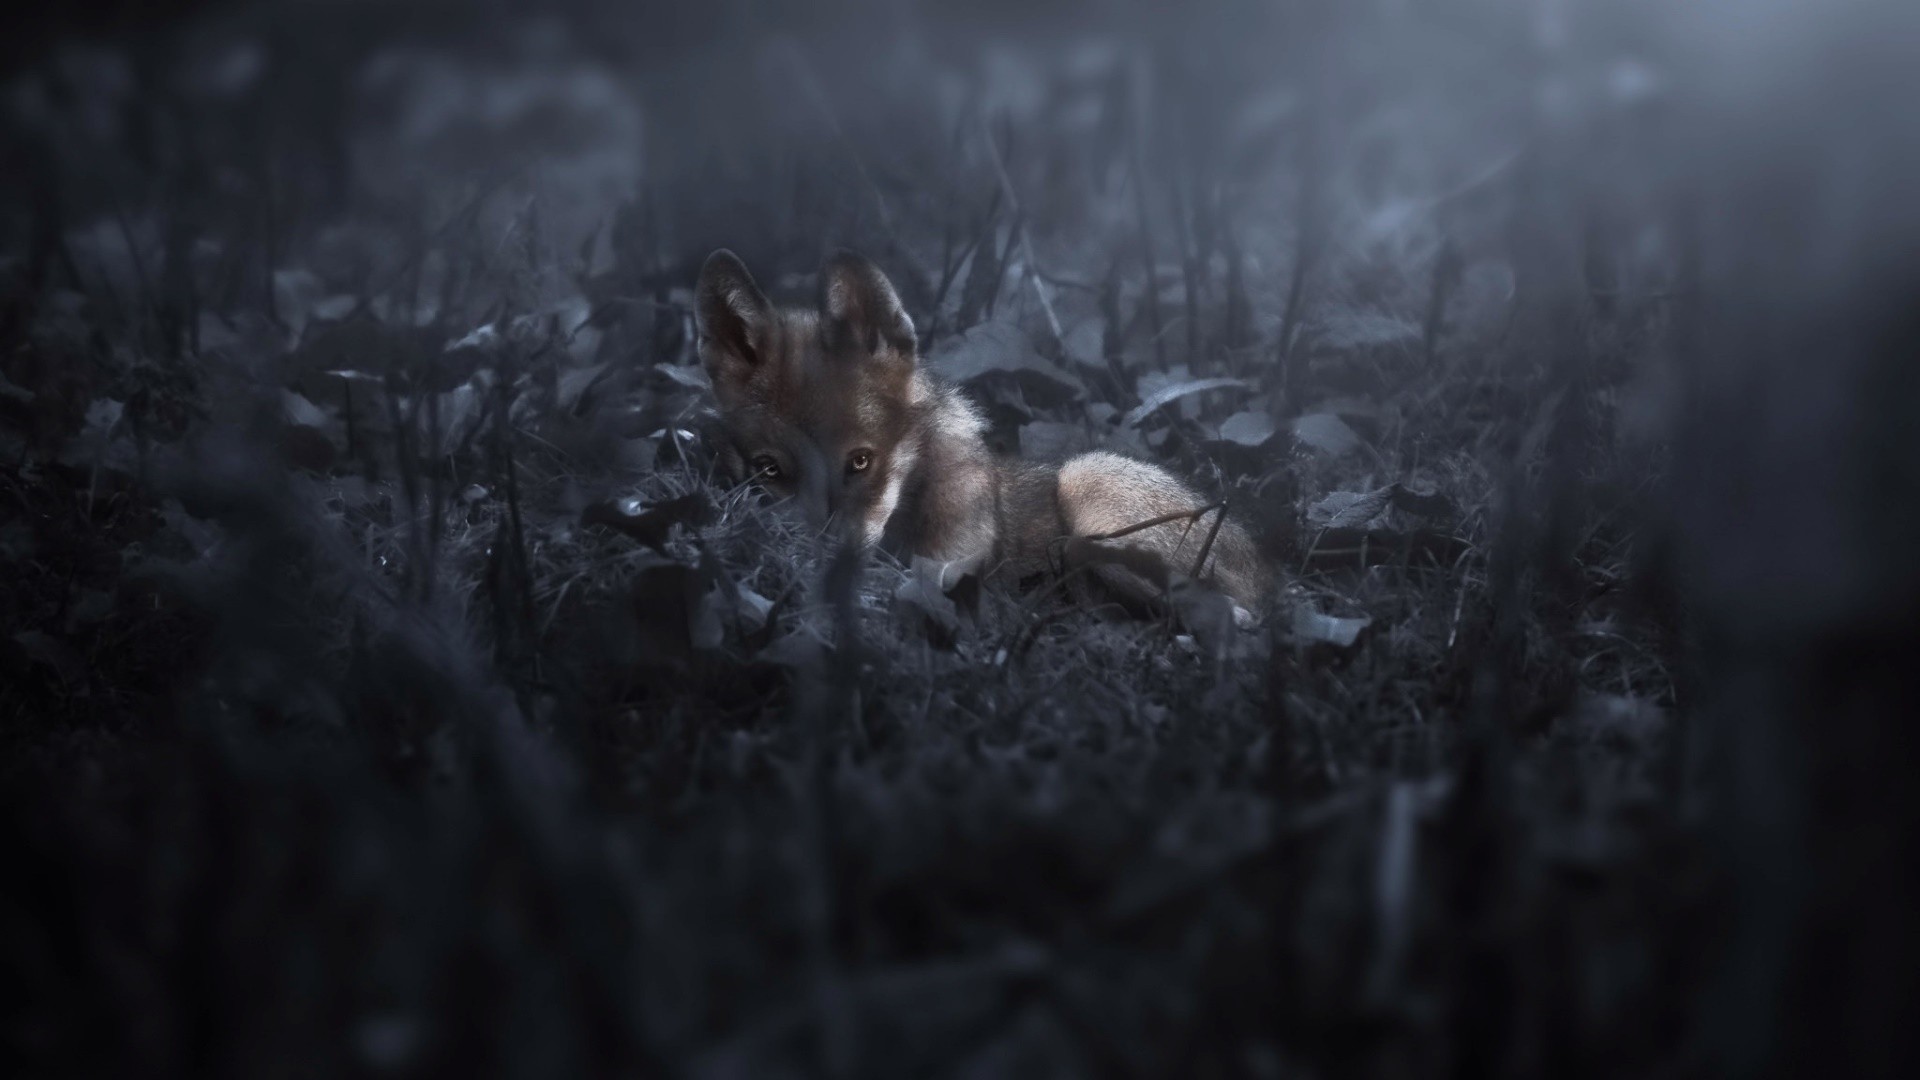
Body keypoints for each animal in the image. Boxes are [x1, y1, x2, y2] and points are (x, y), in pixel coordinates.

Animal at [695, 248, 1272, 623]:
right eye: (770, 470)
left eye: (861, 461)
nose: (818, 572)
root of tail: (1270, 571)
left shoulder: (945, 571)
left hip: (1086, 488)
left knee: (1230, 615)